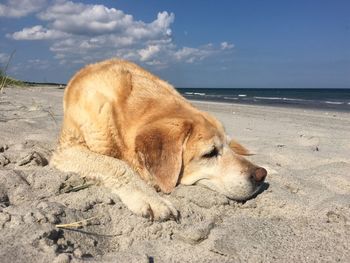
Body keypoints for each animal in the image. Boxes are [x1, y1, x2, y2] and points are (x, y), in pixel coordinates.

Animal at [50, 59, 266, 221]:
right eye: (210, 153)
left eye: (227, 146)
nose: (260, 175)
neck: (121, 114)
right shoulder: (67, 150)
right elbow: (116, 165)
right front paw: (151, 198)